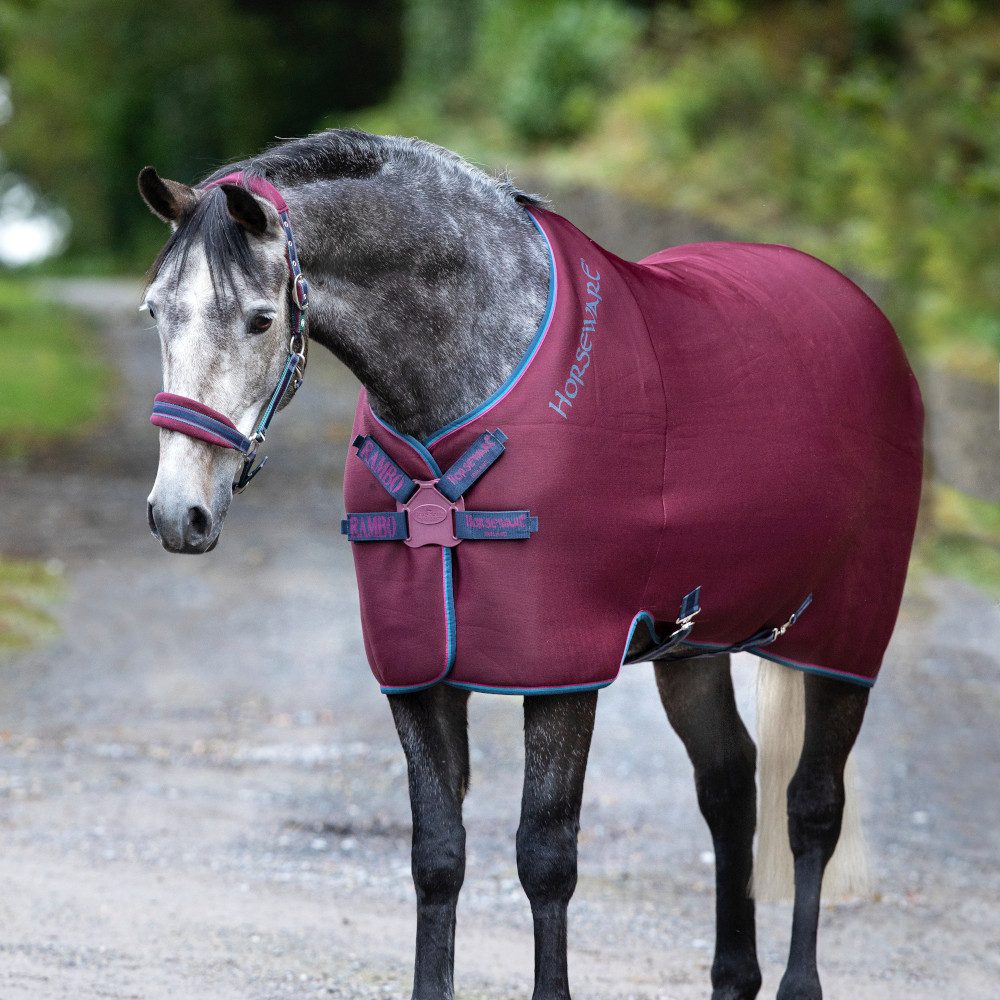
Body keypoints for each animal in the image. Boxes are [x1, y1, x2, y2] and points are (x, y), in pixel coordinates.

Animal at [139, 129, 923, 1000]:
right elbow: (437, 855)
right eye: (156, 311)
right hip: (692, 648)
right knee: (729, 787)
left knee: (812, 806)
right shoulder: (419, 667)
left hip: (843, 642)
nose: (178, 512)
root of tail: (861, 311)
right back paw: (731, 976)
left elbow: (546, 858)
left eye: (260, 318)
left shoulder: (563, 671)